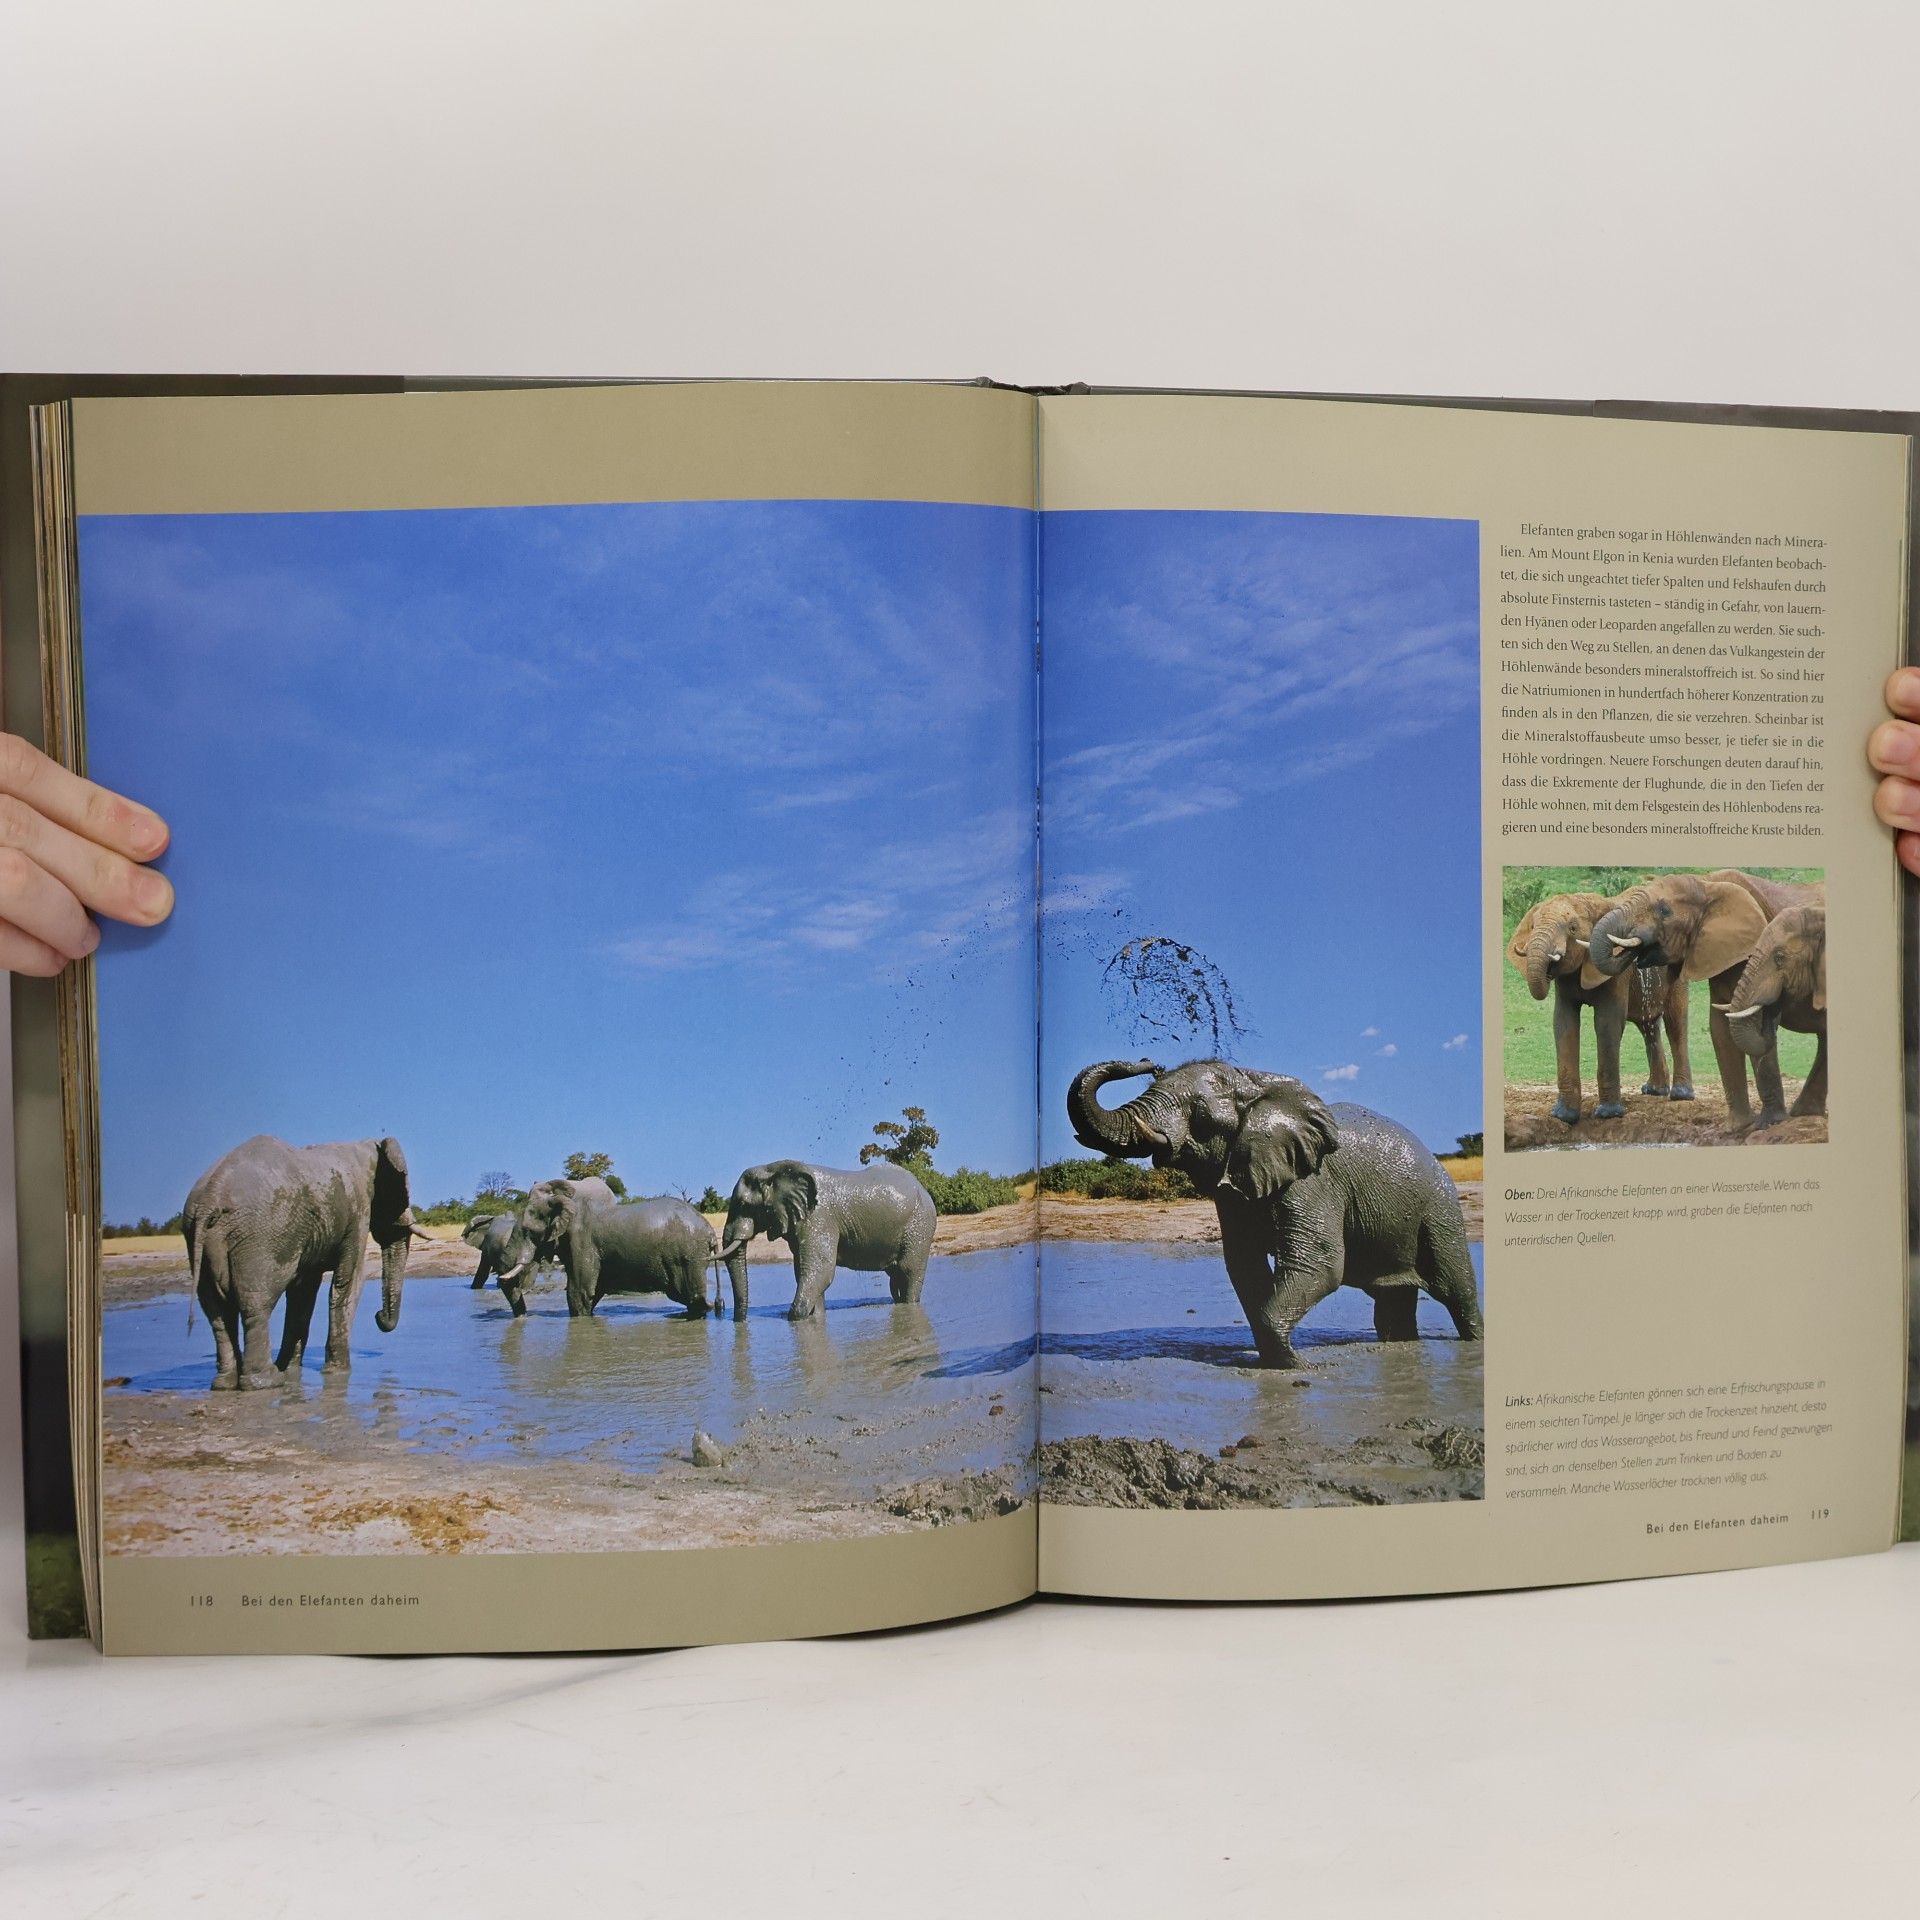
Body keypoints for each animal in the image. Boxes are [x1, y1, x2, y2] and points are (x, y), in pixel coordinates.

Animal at [182, 1134, 418, 1389]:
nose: (378, 1316)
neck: (368, 1145)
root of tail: (211, 1195)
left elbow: (303, 1292)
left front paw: (292, 1371)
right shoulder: (359, 1208)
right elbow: (349, 1282)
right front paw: (337, 1373)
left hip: (199, 1237)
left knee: (216, 1313)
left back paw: (226, 1383)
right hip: (263, 1238)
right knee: (256, 1305)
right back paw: (267, 1380)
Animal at [505, 1183, 721, 1319]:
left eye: (527, 1231)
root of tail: (709, 1230)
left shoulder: (582, 1244)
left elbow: (579, 1293)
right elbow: (592, 1292)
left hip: (688, 1255)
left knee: (693, 1297)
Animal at [718, 1161, 936, 1321]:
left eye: (743, 1204)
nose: (740, 1322)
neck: (773, 1169)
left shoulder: (819, 1217)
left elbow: (820, 1270)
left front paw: (796, 1318)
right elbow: (805, 1271)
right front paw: (816, 1317)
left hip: (920, 1226)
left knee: (908, 1272)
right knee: (896, 1277)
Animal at [1068, 1059, 1482, 1369]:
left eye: (1199, 1112)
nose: (1148, 1061)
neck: (1253, 1080)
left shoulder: (1313, 1180)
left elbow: (1321, 1264)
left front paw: (1298, 1367)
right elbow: (1244, 1264)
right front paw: (1277, 1363)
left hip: (1440, 1211)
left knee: (1457, 1292)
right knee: (1393, 1303)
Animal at [1508, 891, 1688, 1121]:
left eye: (1572, 928)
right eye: (1532, 927)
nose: (1549, 969)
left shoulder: (1617, 975)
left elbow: (1607, 1023)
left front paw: (1608, 1114)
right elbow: (1563, 1022)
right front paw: (1563, 1116)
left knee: (1676, 1022)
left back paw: (1681, 1095)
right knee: (1648, 1025)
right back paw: (1654, 1091)